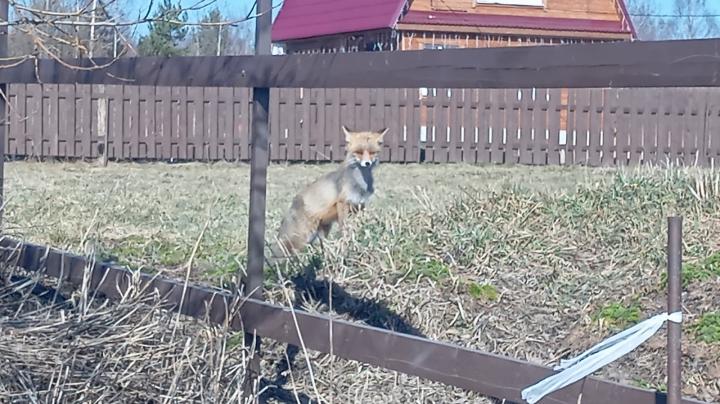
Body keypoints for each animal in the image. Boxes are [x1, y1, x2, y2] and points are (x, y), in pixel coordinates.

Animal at [268, 126, 388, 264]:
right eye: (358, 152)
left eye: (373, 152)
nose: (367, 163)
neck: (360, 184)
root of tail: (292, 205)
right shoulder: (343, 203)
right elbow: (344, 229)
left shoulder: (360, 205)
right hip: (303, 237)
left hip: (322, 231)